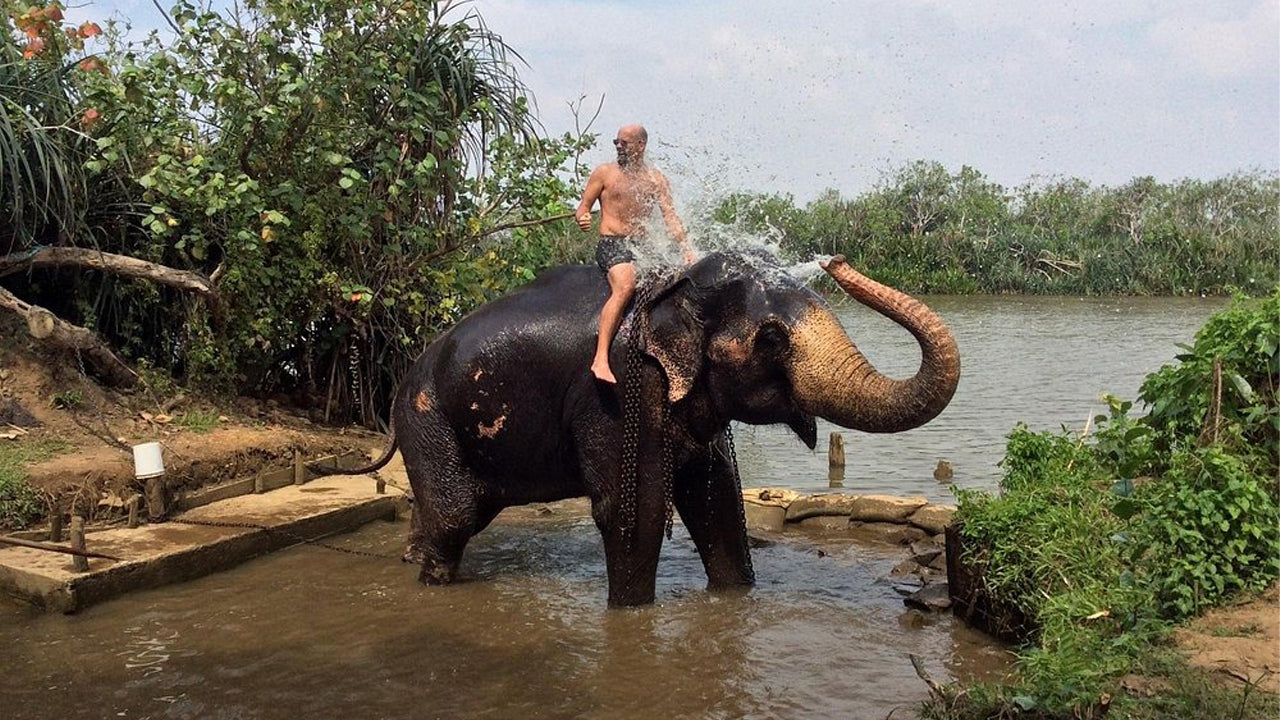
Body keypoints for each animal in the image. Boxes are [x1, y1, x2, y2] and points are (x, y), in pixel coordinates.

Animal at [332, 250, 960, 606]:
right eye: (771, 339)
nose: (835, 261)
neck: (674, 285)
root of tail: (402, 381)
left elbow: (716, 498)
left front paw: (735, 601)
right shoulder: (613, 392)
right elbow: (638, 508)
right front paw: (631, 617)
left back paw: (411, 561)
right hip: (428, 418)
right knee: (457, 515)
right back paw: (430, 584)